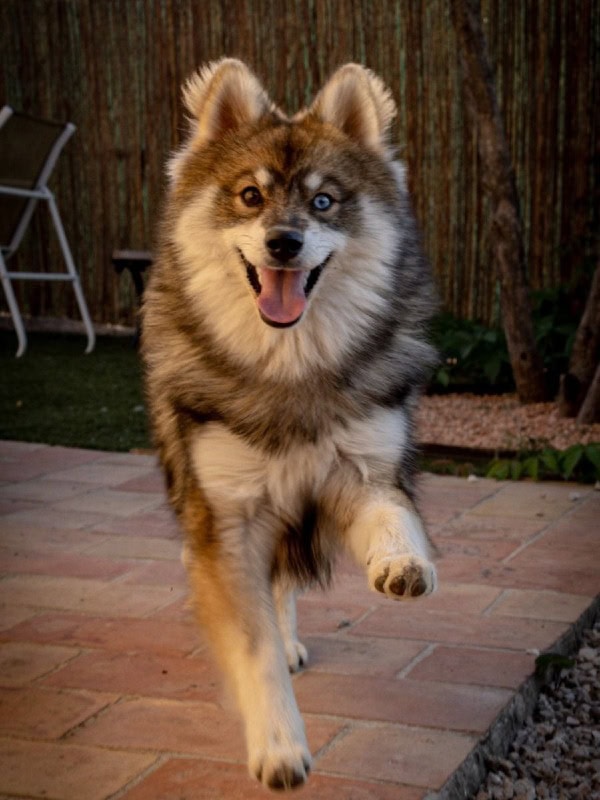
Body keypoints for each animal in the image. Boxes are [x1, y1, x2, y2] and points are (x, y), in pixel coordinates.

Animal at [143, 59, 438, 792]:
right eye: (250, 196)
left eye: (324, 202)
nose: (284, 242)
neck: (290, 371)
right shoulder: (230, 517)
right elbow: (253, 648)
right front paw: (278, 743)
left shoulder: (363, 473)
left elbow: (393, 518)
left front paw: (402, 562)